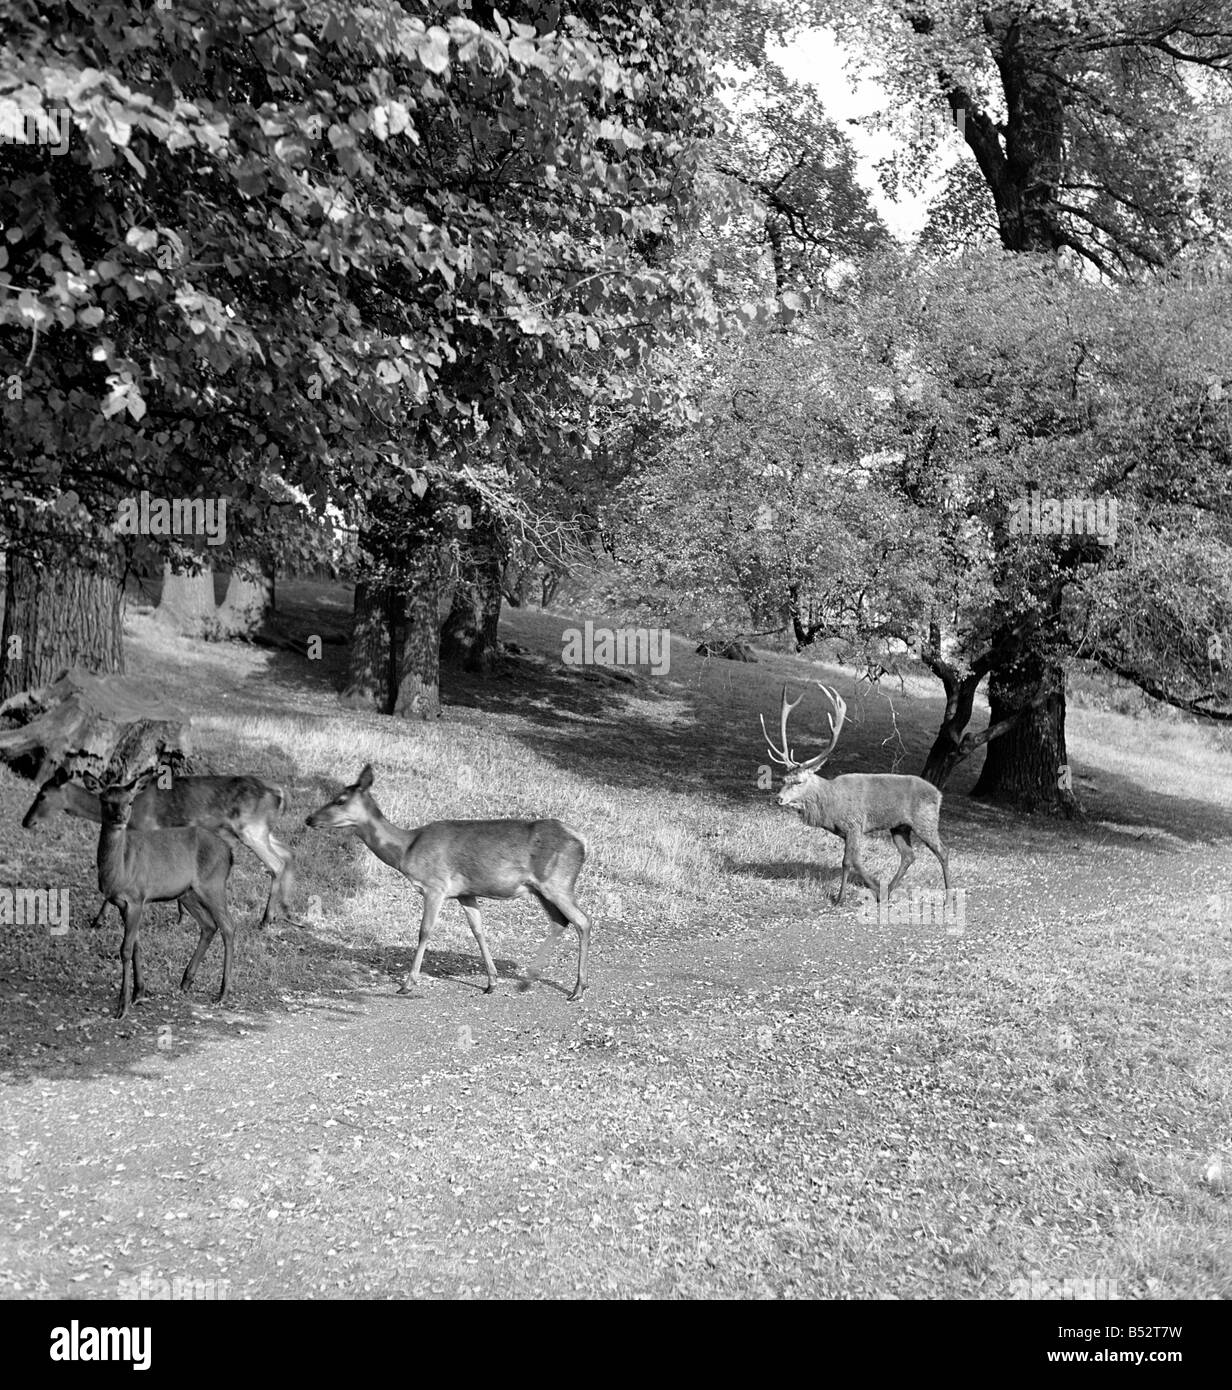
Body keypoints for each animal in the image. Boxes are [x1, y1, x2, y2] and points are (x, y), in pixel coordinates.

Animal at [23, 767, 296, 928]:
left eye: (42, 794)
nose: (27, 821)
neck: (134, 809)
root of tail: (282, 795)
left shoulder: (145, 829)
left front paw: (97, 920)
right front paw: (181, 916)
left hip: (250, 828)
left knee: (276, 863)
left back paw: (265, 919)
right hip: (263, 830)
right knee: (289, 853)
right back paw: (286, 911)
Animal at [80, 772, 240, 1023]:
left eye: (130, 802)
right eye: (105, 800)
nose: (119, 818)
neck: (120, 869)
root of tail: (229, 853)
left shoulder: (137, 898)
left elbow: (125, 949)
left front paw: (122, 1006)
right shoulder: (124, 904)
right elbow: (136, 946)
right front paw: (139, 993)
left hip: (213, 884)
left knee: (228, 926)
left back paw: (223, 992)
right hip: (188, 893)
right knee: (209, 925)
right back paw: (186, 981)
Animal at [305, 772, 589, 1000]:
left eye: (340, 800)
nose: (309, 819)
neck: (406, 849)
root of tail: (583, 842)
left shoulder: (435, 886)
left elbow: (425, 930)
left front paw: (408, 983)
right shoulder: (465, 893)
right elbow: (478, 930)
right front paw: (491, 982)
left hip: (557, 882)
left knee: (582, 921)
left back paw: (577, 989)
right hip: (542, 888)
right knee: (560, 921)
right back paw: (527, 982)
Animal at [762, 681, 956, 906]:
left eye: (799, 781)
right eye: (783, 780)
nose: (778, 798)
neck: (831, 807)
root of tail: (939, 795)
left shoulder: (854, 824)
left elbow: (848, 861)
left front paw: (841, 898)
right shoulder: (847, 831)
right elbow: (852, 860)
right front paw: (872, 891)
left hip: (926, 821)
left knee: (943, 851)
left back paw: (948, 897)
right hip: (899, 826)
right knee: (909, 855)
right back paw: (888, 892)